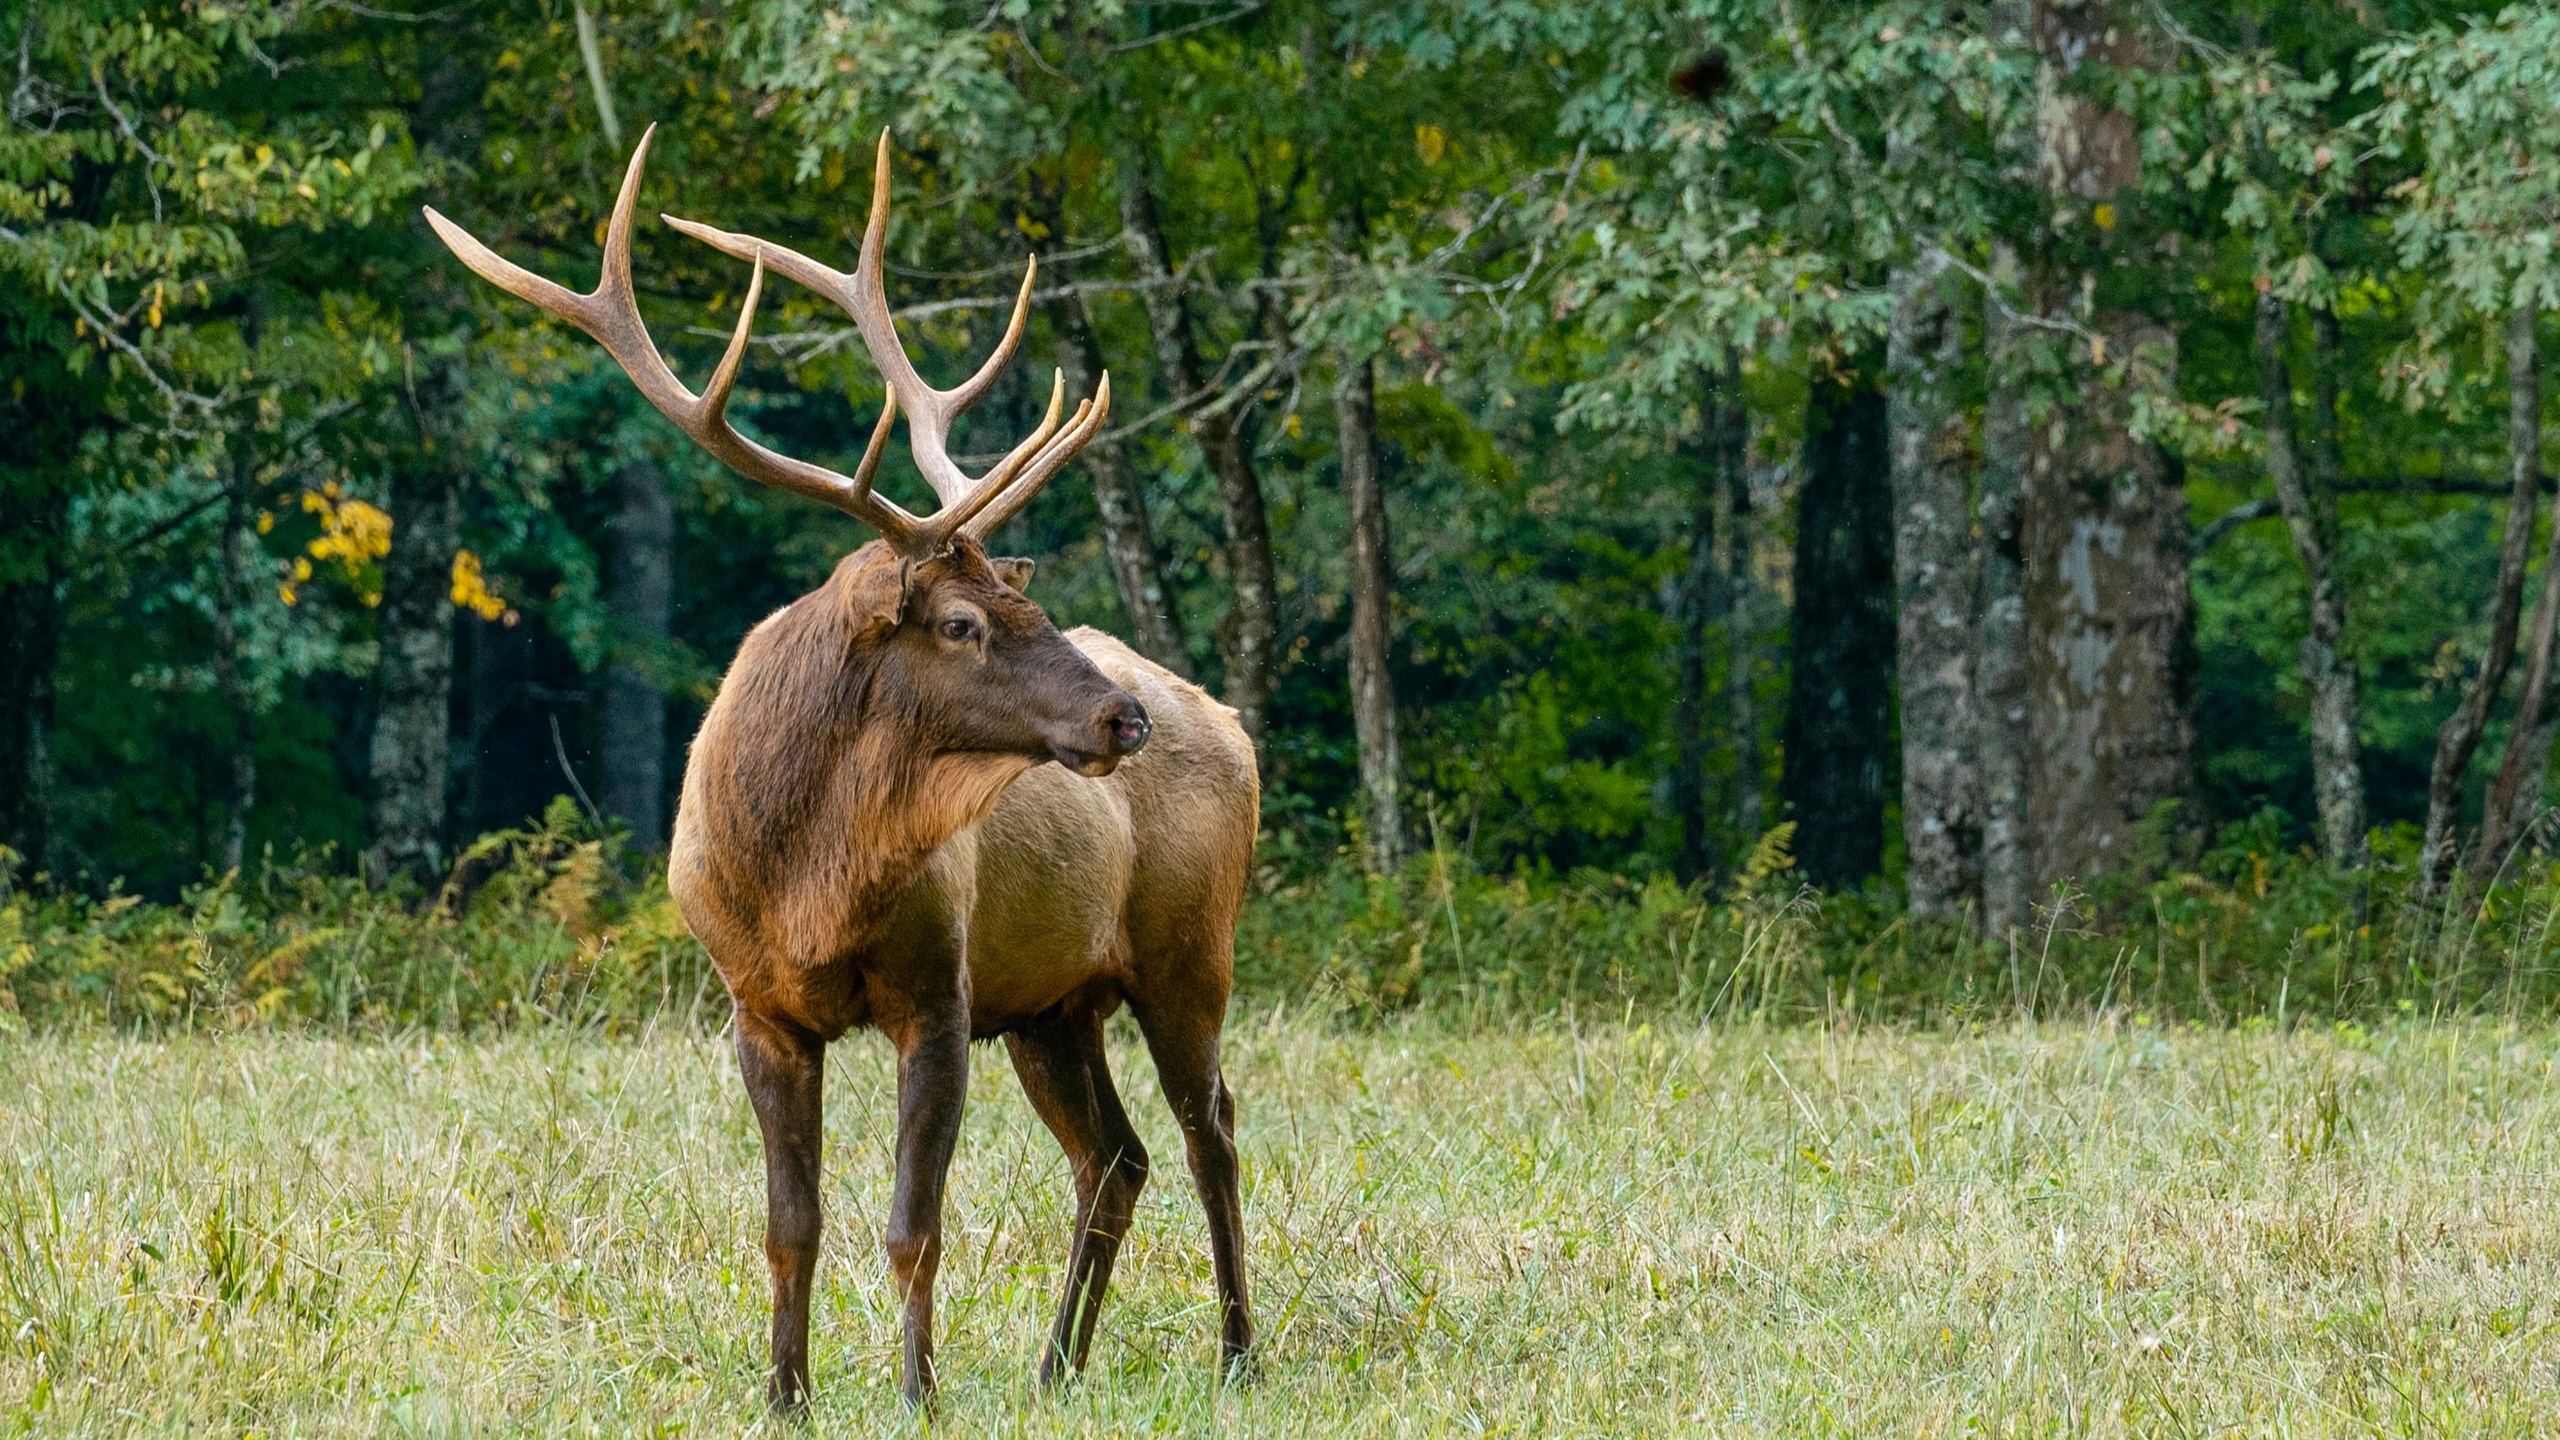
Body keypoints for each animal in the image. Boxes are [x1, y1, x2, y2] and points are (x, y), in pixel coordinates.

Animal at [427, 126, 1259, 1404]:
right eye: (963, 622)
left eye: (1023, 598)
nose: (1122, 720)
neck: (806, 882)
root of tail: (1233, 724)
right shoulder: (758, 1008)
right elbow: (791, 1224)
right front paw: (784, 1392)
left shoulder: (940, 995)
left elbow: (914, 1222)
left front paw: (917, 1393)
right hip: (1055, 1003)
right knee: (1116, 1157)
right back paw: (1055, 1366)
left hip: (1185, 950)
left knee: (1209, 1129)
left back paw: (1235, 1354)